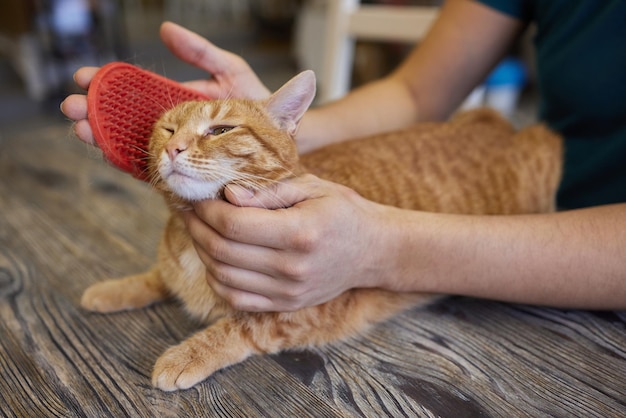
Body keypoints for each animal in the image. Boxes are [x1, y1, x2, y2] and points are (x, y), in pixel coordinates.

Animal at [81, 70, 560, 390]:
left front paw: (185, 355)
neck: (190, 241)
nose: (175, 148)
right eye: (167, 129)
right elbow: (156, 277)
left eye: (220, 129)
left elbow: (242, 326)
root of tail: (508, 133)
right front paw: (111, 290)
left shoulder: (308, 308)